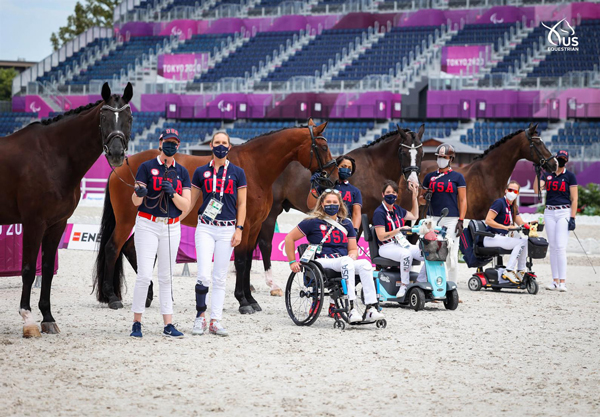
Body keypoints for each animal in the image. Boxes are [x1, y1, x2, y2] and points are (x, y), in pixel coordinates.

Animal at [0, 82, 134, 338]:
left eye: (129, 118)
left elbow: (47, 269)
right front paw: (28, 320)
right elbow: (28, 270)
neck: (52, 155)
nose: (116, 153)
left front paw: (48, 318)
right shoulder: (34, 223)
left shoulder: (56, 224)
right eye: (103, 117)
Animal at [95, 119, 336, 312]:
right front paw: (243, 301)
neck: (255, 167)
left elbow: (248, 261)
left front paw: (251, 299)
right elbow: (241, 260)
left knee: (129, 249)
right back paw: (113, 298)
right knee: (112, 248)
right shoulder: (244, 226)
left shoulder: (254, 226)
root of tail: (121, 167)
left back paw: (147, 294)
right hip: (126, 220)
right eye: (323, 146)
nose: (332, 178)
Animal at [255, 123, 424, 292]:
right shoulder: (358, 220)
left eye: (422, 153)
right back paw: (272, 284)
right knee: (265, 244)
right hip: (271, 212)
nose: (413, 183)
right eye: (403, 152)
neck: (374, 170)